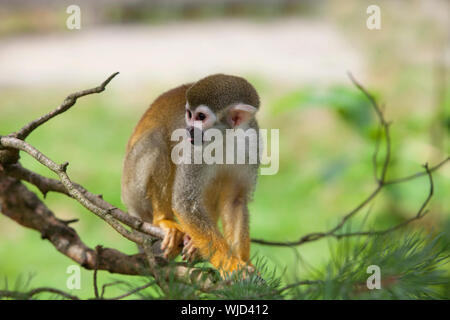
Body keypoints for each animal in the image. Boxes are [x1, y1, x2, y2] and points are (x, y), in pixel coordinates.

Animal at [122, 73, 260, 278]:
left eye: (201, 117)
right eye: (189, 115)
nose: (189, 130)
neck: (225, 139)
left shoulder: (252, 143)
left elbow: (235, 200)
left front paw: (244, 262)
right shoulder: (194, 149)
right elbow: (185, 202)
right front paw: (231, 265)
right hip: (134, 187)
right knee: (157, 141)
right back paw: (163, 220)